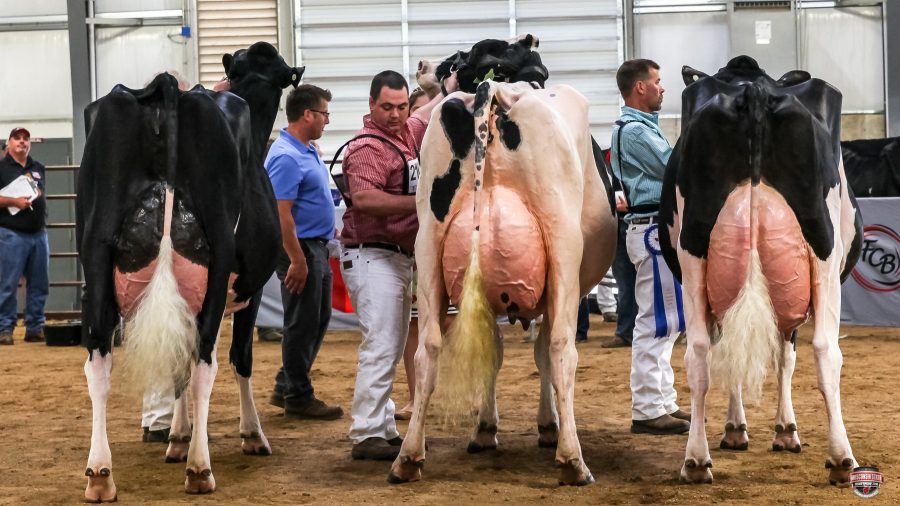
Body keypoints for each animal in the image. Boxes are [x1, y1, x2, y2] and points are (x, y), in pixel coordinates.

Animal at [77, 42, 302, 500]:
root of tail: (166, 88)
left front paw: (178, 436)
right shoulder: (250, 288)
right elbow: (240, 358)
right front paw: (250, 434)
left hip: (95, 258)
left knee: (98, 363)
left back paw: (100, 473)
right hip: (216, 264)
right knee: (203, 364)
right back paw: (200, 469)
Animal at [386, 79, 618, 486]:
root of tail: (494, 87)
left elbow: (492, 353)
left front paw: (485, 428)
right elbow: (541, 352)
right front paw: (548, 425)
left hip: (428, 246)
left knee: (428, 348)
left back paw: (409, 457)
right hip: (563, 248)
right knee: (561, 348)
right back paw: (573, 461)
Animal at [657, 55, 863, 485]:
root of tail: (753, 90)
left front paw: (745, 429)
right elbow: (787, 357)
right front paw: (782, 431)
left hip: (694, 253)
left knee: (699, 353)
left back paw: (696, 461)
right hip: (824, 255)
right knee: (826, 351)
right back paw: (841, 458)